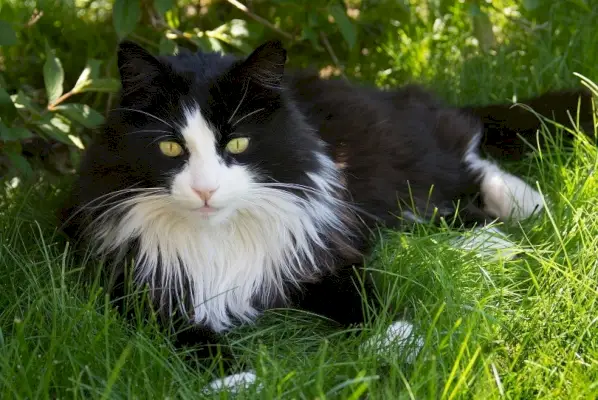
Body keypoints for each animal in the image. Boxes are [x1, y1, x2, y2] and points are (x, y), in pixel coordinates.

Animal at [58, 39, 596, 392]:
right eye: (170, 147)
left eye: (238, 144)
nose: (206, 190)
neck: (219, 236)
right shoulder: (133, 286)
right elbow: (191, 336)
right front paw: (237, 381)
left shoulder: (325, 255)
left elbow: (363, 297)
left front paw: (394, 345)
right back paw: (488, 238)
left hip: (396, 164)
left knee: (463, 146)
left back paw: (524, 207)